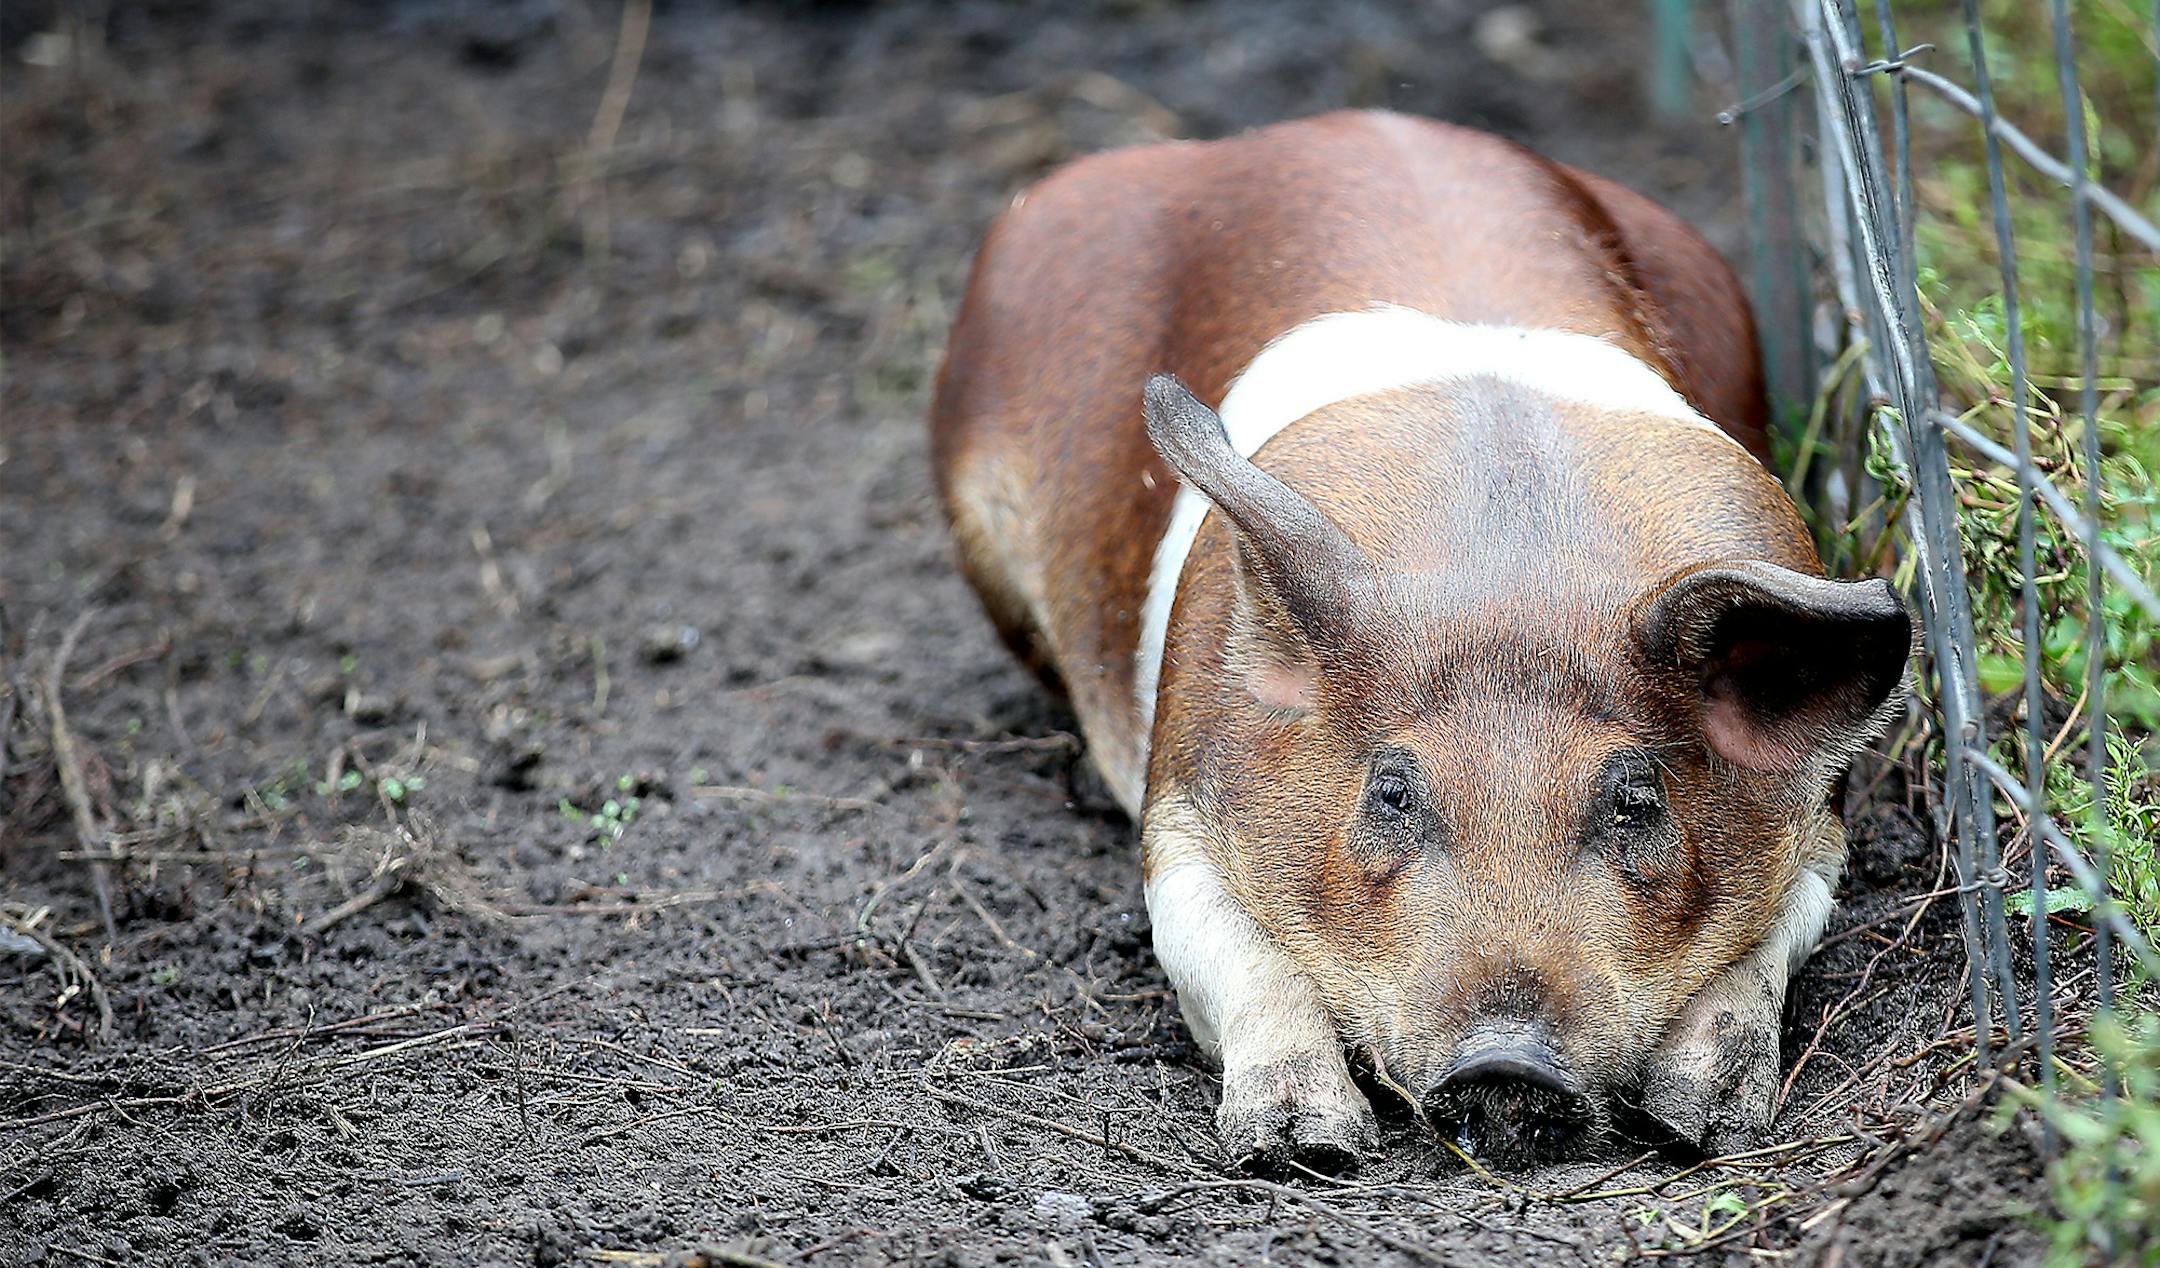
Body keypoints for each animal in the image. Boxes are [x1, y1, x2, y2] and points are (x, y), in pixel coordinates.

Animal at [928, 112, 1909, 1170]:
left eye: (1635, 798)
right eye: (1392, 791)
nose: (1507, 1062)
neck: (1514, 564)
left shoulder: (1821, 821)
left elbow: (1776, 939)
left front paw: (1701, 1121)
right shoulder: (1180, 800)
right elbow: (1231, 953)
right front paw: (1298, 1143)